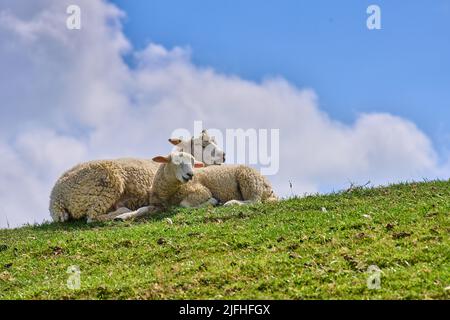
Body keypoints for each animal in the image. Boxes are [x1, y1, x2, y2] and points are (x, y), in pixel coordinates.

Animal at [49, 130, 225, 222]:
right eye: (204, 144)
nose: (224, 156)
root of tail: (56, 198)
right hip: (107, 184)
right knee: (92, 217)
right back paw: (121, 212)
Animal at [115, 151, 278, 221]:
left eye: (193, 162)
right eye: (175, 161)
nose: (190, 175)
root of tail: (270, 190)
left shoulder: (201, 191)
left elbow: (185, 204)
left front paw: (213, 202)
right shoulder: (158, 204)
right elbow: (142, 209)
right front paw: (122, 216)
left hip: (249, 180)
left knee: (255, 200)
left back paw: (231, 203)